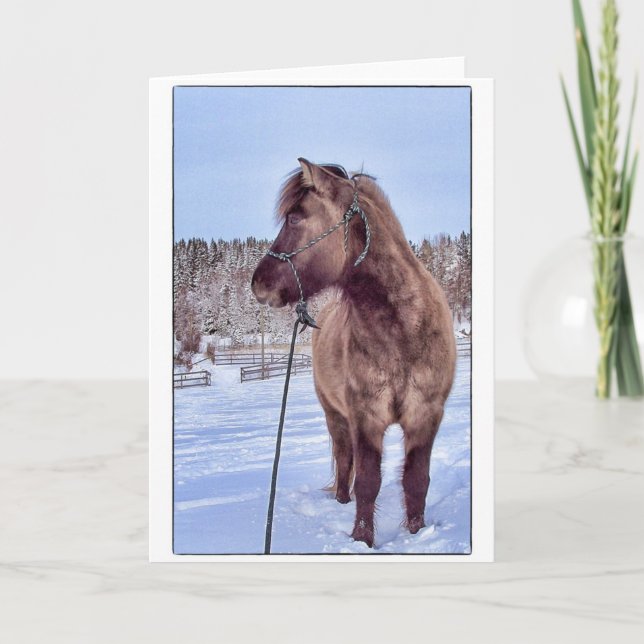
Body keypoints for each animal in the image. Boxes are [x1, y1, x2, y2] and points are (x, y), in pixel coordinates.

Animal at [251, 158, 456, 548]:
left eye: (295, 218)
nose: (257, 284)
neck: (402, 332)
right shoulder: (365, 417)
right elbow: (367, 482)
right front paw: (362, 540)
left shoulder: (425, 416)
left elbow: (416, 482)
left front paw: (416, 533)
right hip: (336, 416)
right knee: (345, 460)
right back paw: (341, 501)